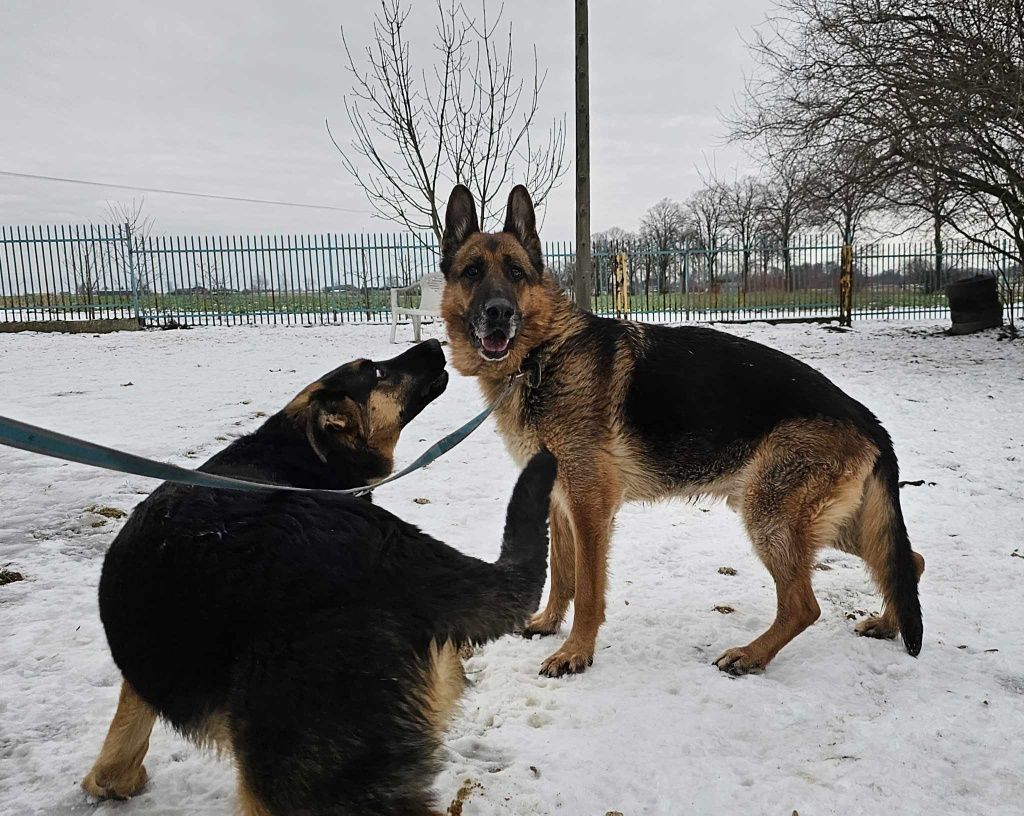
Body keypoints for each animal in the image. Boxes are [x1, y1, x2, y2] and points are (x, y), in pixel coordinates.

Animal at [440, 187, 929, 679]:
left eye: (516, 273)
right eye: (473, 272)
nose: (498, 313)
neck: (542, 354)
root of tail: (865, 417)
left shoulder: (590, 506)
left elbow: (588, 589)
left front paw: (575, 652)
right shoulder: (561, 501)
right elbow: (562, 575)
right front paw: (547, 624)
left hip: (770, 519)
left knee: (805, 605)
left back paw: (751, 655)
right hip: (821, 522)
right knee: (907, 561)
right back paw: (888, 623)